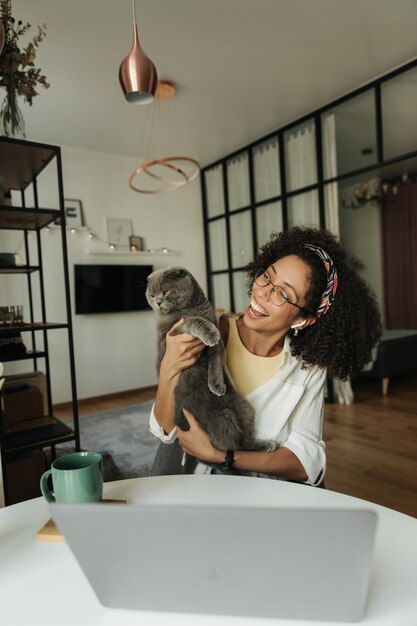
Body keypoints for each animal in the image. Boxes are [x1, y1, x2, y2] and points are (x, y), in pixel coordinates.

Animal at [145, 264, 264, 454]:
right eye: (151, 295)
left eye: (166, 291)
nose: (157, 302)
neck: (192, 308)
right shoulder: (174, 330)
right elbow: (194, 321)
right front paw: (209, 333)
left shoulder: (216, 346)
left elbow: (215, 364)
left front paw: (217, 386)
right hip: (213, 417)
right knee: (228, 444)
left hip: (245, 408)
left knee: (241, 443)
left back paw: (267, 445)